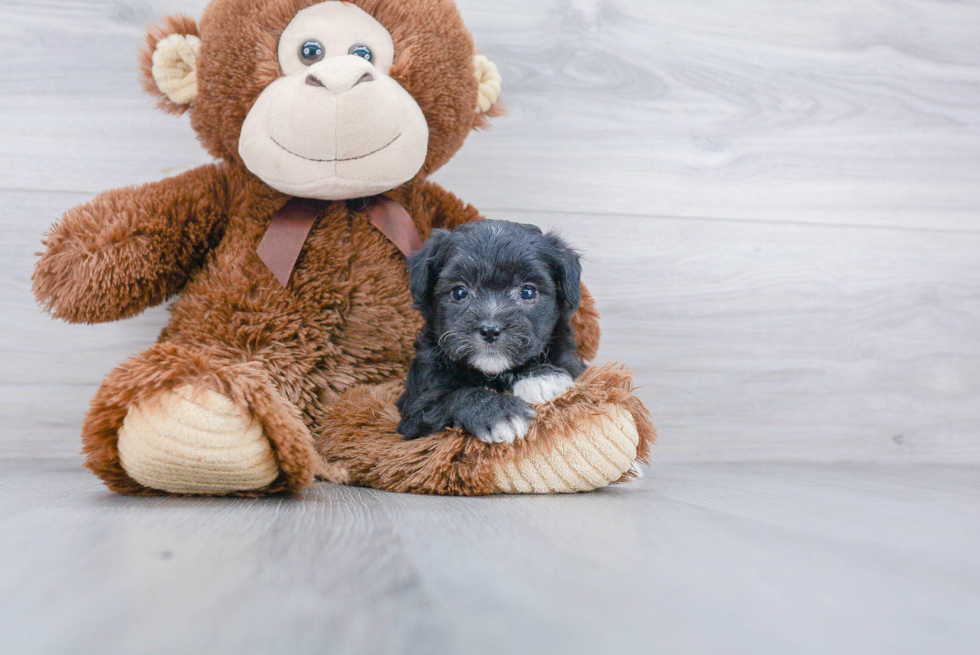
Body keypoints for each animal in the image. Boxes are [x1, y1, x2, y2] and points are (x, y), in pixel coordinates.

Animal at [396, 218, 584, 444]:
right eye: (459, 292)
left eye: (528, 292)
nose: (490, 330)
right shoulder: (416, 412)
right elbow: (453, 398)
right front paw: (498, 412)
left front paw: (542, 377)